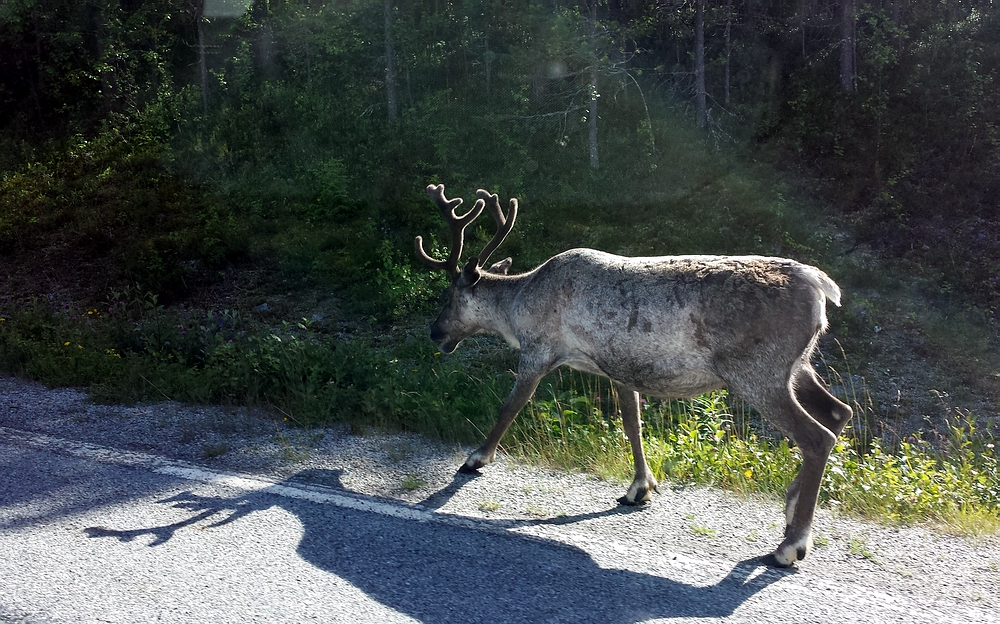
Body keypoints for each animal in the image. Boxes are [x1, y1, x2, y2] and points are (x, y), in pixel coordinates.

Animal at [414, 184, 853, 567]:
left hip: (757, 371)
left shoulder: (538, 350)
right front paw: (640, 488)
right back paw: (791, 511)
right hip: (797, 365)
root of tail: (820, 285)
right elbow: (632, 423)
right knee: (838, 413)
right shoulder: (619, 366)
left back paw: (791, 545)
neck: (517, 307)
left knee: (816, 436)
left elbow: (510, 407)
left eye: (448, 296)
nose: (434, 333)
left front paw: (475, 458)